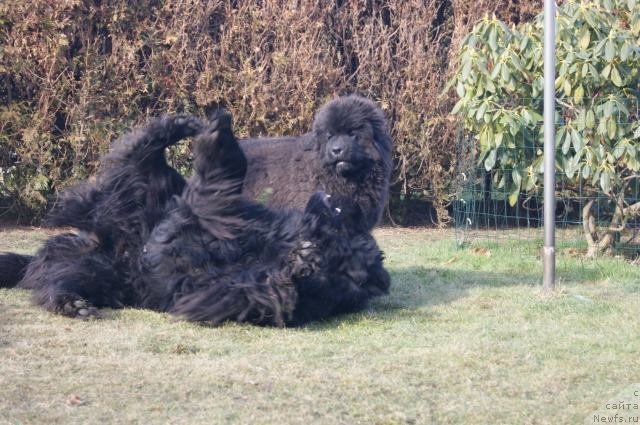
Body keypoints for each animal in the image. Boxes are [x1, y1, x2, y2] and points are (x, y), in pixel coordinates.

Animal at [0, 111, 390, 322]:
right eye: (345, 221)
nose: (335, 198)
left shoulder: (224, 288)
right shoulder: (241, 217)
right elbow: (220, 191)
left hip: (102, 270)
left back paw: (73, 303)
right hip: (148, 195)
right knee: (139, 154)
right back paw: (179, 125)